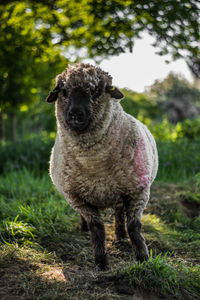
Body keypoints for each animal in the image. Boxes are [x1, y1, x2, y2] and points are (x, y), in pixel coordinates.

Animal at [46, 62, 159, 270]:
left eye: (96, 91)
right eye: (64, 91)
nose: (75, 114)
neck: (94, 165)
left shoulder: (138, 191)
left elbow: (134, 226)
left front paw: (143, 258)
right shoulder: (77, 198)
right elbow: (97, 228)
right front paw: (101, 263)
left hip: (121, 189)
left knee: (119, 213)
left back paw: (121, 236)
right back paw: (84, 229)